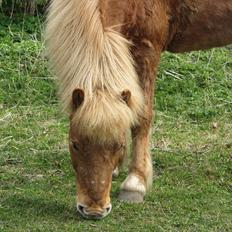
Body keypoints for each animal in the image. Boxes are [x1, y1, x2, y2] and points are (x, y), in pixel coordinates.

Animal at [44, 0, 232, 219]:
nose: (94, 210)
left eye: (118, 145)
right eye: (74, 144)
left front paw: (135, 182)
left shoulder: (146, 50)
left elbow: (141, 117)